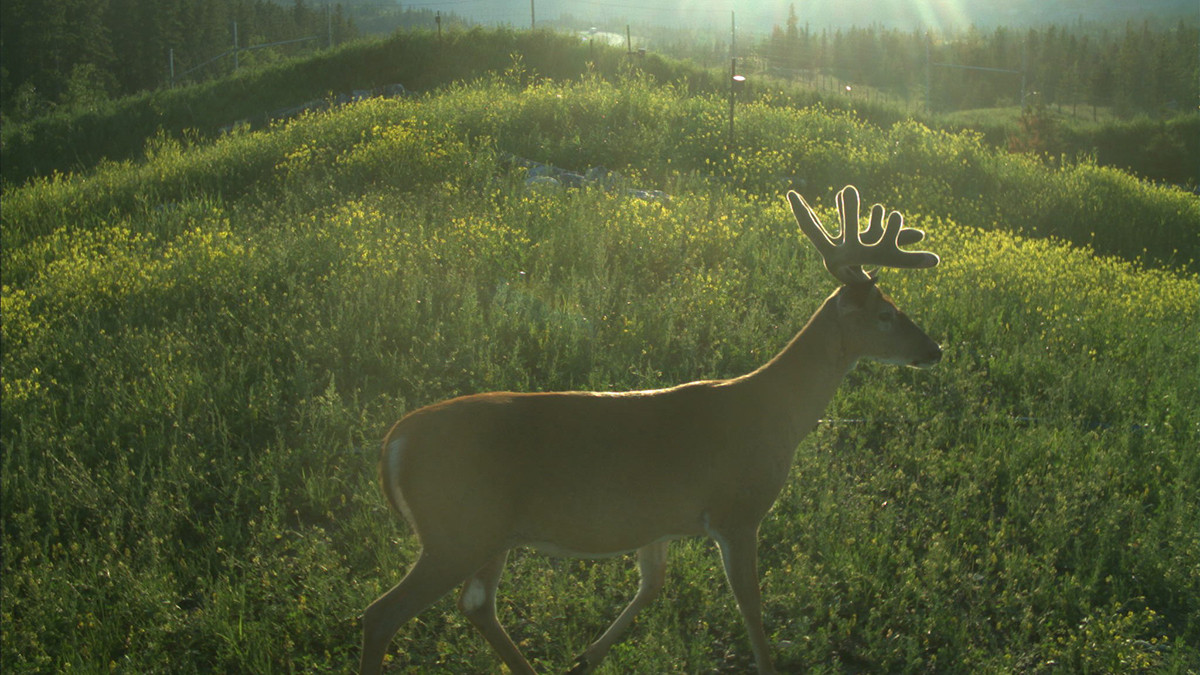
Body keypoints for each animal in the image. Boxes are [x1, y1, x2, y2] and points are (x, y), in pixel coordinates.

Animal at [360, 185, 942, 675]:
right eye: (887, 314)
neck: (773, 414)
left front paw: (587, 657)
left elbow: (652, 585)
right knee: (382, 613)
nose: (934, 349)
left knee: (476, 605)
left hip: (487, 531)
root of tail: (394, 442)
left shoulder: (658, 522)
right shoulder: (737, 511)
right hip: (456, 529)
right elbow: (750, 607)